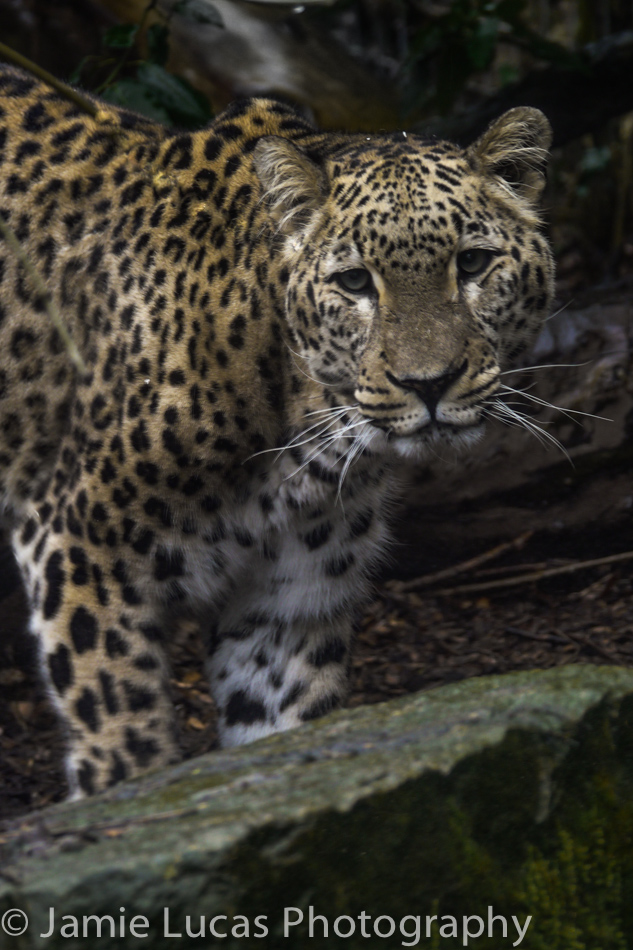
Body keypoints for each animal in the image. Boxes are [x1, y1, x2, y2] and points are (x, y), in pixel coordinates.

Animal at [0, 63, 554, 797]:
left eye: (471, 264)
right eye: (354, 281)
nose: (428, 384)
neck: (305, 437)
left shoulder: (285, 610)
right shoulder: (75, 551)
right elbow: (124, 750)